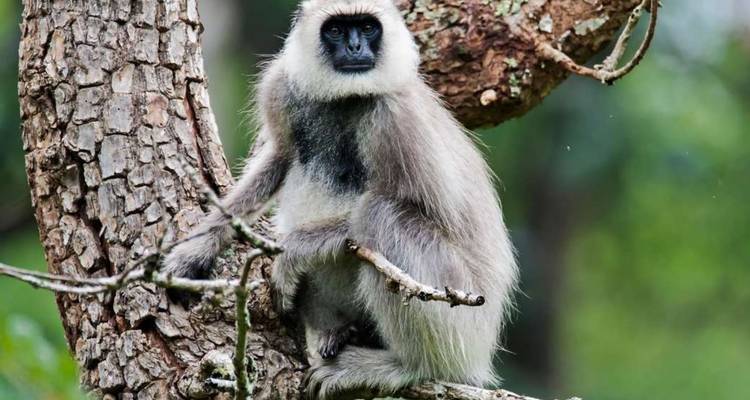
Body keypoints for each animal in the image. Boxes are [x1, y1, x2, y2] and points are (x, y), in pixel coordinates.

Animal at [163, 0, 518, 398]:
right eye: (335, 30)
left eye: (367, 27)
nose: (354, 47)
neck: (345, 98)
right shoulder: (282, 87)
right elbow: (278, 160)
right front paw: (195, 250)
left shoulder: (397, 117)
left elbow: (440, 215)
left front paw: (291, 251)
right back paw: (344, 332)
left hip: (463, 318)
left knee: (380, 215)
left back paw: (408, 366)